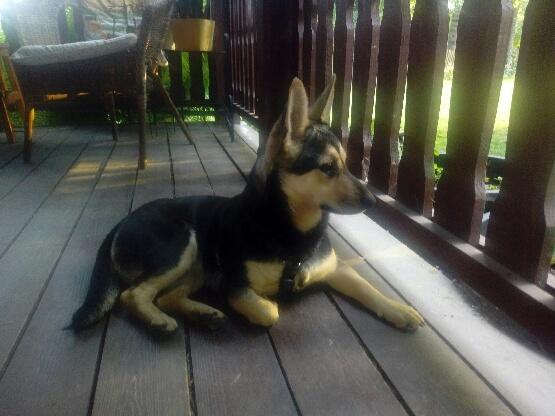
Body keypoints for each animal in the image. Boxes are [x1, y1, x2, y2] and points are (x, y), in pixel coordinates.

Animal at [69, 77, 424, 332]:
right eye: (327, 168)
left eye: (348, 165)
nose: (373, 201)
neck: (292, 231)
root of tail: (122, 222)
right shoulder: (236, 286)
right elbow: (269, 311)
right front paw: (270, 304)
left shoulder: (336, 268)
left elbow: (367, 287)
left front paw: (398, 309)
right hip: (182, 243)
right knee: (132, 294)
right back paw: (160, 319)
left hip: (196, 264)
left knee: (167, 295)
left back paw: (201, 313)